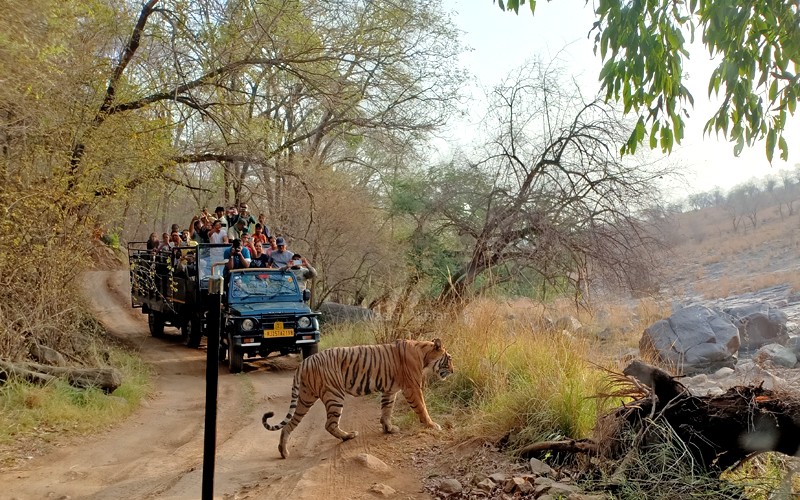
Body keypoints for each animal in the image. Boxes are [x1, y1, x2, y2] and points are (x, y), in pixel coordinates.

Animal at [262, 338, 453, 458]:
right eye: (449, 359)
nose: (453, 371)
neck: (424, 353)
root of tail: (304, 362)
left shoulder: (390, 390)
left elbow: (387, 410)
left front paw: (388, 428)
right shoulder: (412, 388)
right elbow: (422, 408)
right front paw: (432, 425)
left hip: (306, 397)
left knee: (290, 424)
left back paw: (283, 451)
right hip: (334, 394)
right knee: (329, 424)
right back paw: (349, 436)